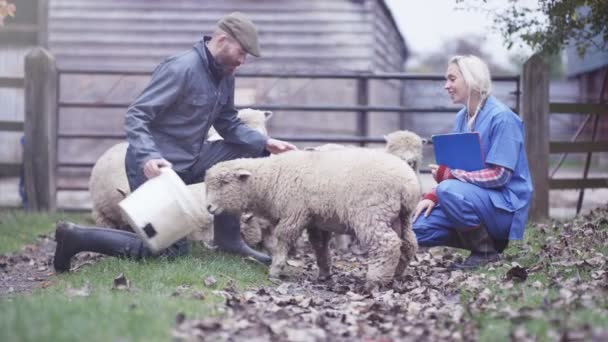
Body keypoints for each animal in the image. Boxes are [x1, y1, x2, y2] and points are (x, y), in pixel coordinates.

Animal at [203, 150, 418, 286]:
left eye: (224, 182)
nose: (208, 207)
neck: (269, 180)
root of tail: (407, 184)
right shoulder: (316, 220)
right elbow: (319, 245)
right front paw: (324, 273)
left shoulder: (293, 214)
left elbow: (283, 240)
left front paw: (276, 269)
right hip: (401, 217)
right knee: (408, 243)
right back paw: (396, 274)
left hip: (371, 214)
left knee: (388, 244)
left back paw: (375, 281)